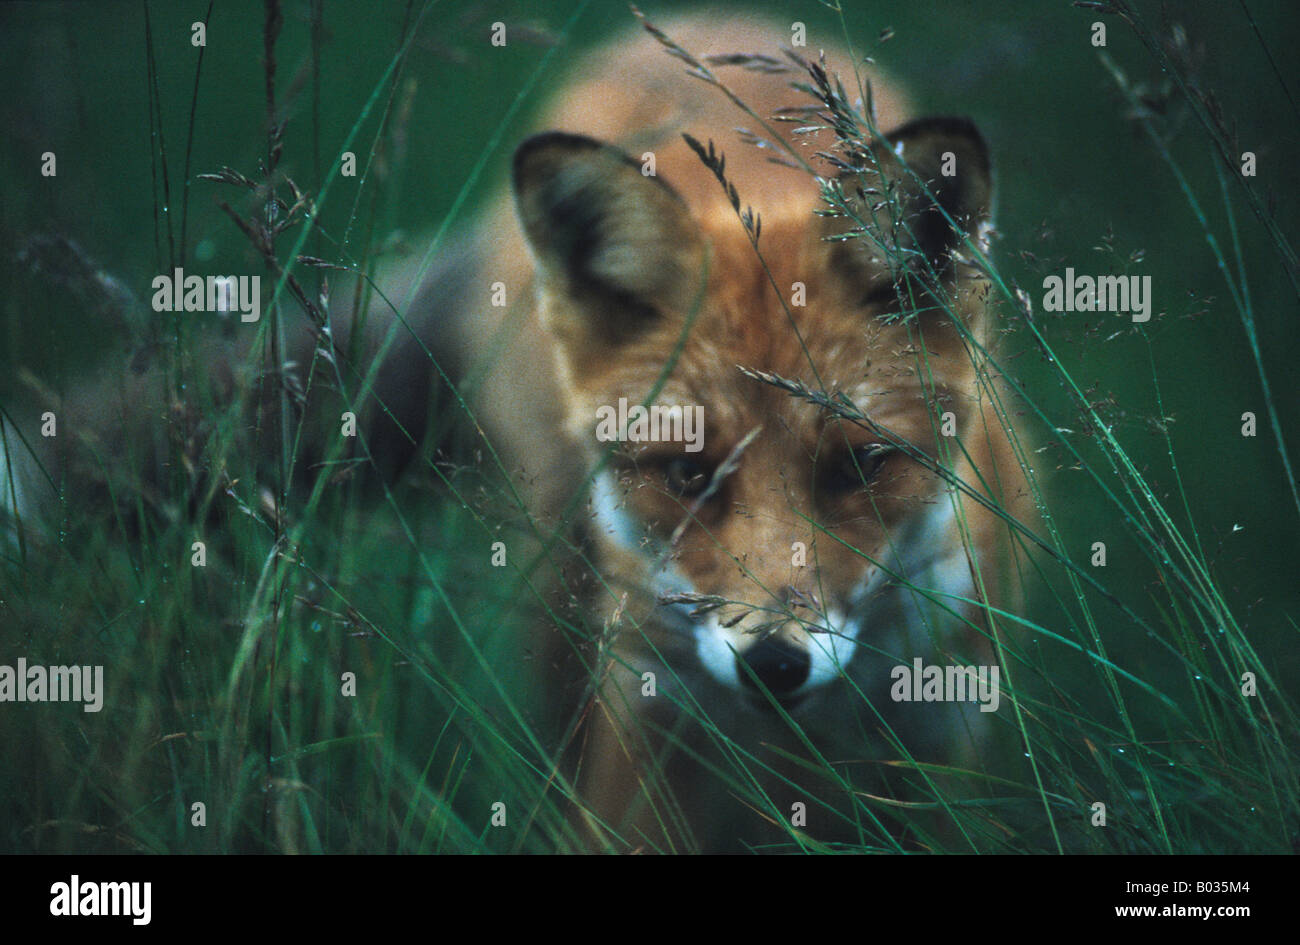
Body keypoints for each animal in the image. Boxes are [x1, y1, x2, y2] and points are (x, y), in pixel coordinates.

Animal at [452, 11, 1029, 852]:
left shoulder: (944, 735)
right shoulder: (647, 721)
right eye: (690, 474)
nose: (774, 664)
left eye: (859, 467)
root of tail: (703, 23)